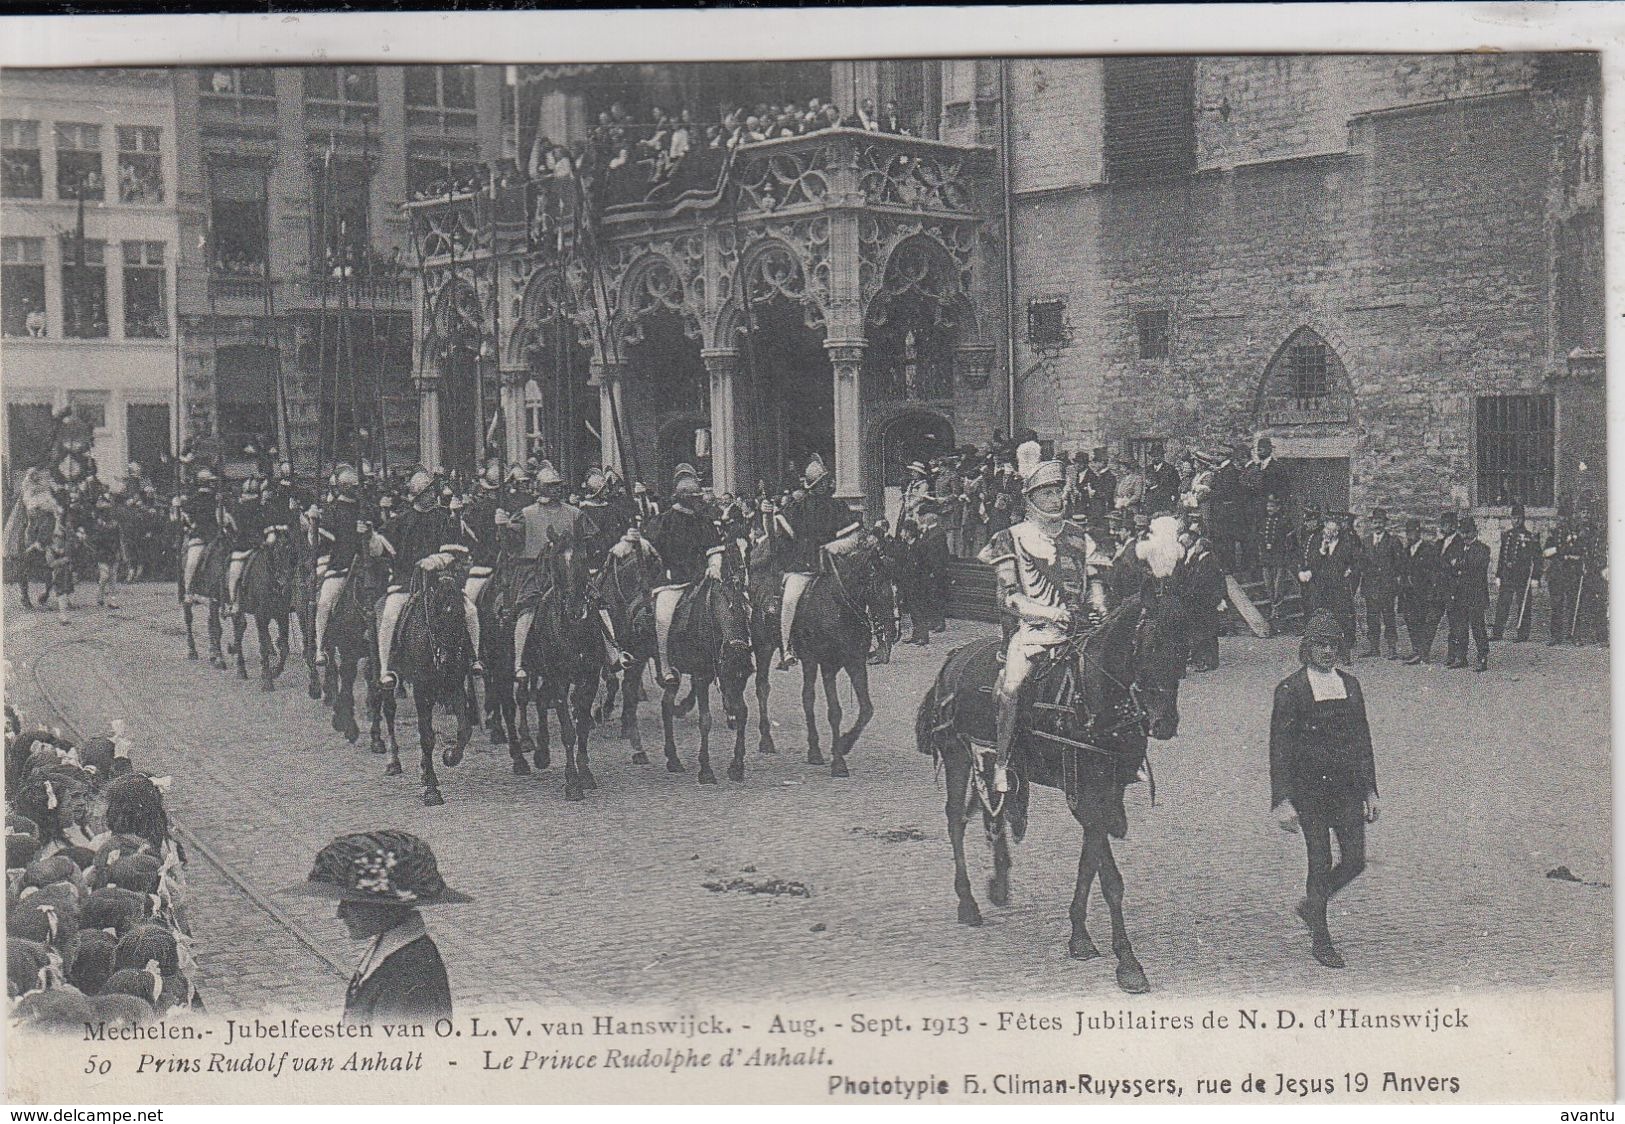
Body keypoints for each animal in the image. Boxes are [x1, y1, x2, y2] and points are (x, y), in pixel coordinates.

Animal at [227, 532, 294, 688]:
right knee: (239, 629)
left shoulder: (282, 616)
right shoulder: (261, 616)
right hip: (238, 609)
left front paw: (275, 672)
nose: (286, 583)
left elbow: (284, 647)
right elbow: (263, 645)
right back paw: (241, 670)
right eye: (276, 554)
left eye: (292, 552)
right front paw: (267, 680)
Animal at [380, 558, 474, 802]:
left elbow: (464, 729)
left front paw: (450, 756)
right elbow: (426, 736)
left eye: (461, 617)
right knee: (389, 712)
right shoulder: (422, 689)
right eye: (436, 618)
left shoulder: (455, 685)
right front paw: (431, 789)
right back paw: (393, 761)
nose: (447, 662)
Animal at [516, 542, 607, 799]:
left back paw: (541, 751)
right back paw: (526, 744)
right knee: (523, 697)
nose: (576, 609)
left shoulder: (590, 677)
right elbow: (568, 730)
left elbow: (582, 723)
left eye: (584, 559)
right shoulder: (559, 680)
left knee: (540, 699)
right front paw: (573, 782)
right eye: (555, 562)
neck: (575, 632)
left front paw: (585, 774)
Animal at [659, 565, 754, 786]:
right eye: (727, 677)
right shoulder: (701, 677)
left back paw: (673, 759)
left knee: (666, 704)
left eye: (744, 678)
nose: (730, 711)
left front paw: (737, 767)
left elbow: (744, 712)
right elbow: (705, 720)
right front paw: (706, 770)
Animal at [910, 562, 1189, 994]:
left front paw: (1079, 936)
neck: (1092, 696)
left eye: (1185, 641)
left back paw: (999, 883)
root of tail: (953, 659)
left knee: (994, 811)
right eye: (1149, 641)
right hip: (957, 758)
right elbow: (1110, 879)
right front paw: (1127, 961)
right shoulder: (1087, 797)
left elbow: (1089, 865)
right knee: (956, 820)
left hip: (996, 761)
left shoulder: (1106, 794)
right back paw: (968, 903)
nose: (1164, 723)